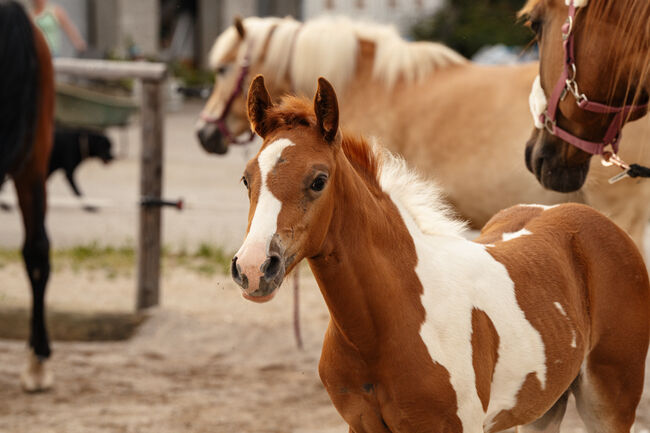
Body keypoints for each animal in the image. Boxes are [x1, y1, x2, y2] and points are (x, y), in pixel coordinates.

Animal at [233, 74, 648, 432]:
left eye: (318, 180)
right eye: (246, 178)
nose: (254, 269)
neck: (385, 324)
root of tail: (591, 218)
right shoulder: (360, 424)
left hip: (609, 401)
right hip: (543, 407)